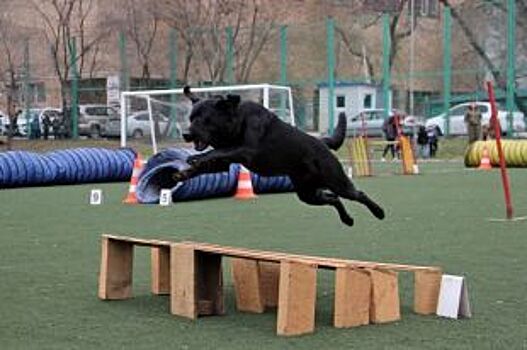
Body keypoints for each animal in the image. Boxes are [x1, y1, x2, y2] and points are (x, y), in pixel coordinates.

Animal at [179, 86, 386, 226]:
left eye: (205, 120)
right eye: (190, 118)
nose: (186, 134)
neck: (236, 120)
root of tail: (322, 142)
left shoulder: (247, 150)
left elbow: (217, 150)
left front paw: (193, 159)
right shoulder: (223, 163)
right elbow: (208, 161)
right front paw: (181, 173)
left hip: (336, 181)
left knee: (357, 194)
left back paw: (379, 212)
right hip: (307, 193)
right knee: (333, 198)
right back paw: (347, 219)